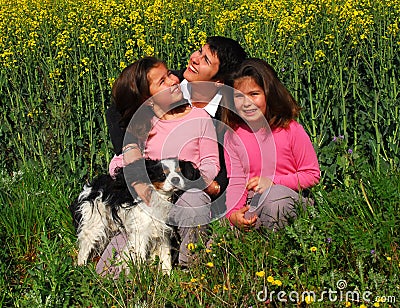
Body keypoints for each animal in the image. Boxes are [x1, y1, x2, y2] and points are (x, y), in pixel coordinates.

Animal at [69, 159, 205, 274]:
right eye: (162, 175)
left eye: (180, 172)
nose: (176, 179)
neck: (159, 197)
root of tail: (89, 188)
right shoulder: (141, 233)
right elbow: (140, 257)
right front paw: (142, 276)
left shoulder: (162, 232)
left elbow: (165, 255)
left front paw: (167, 274)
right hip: (93, 226)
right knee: (84, 249)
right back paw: (81, 268)